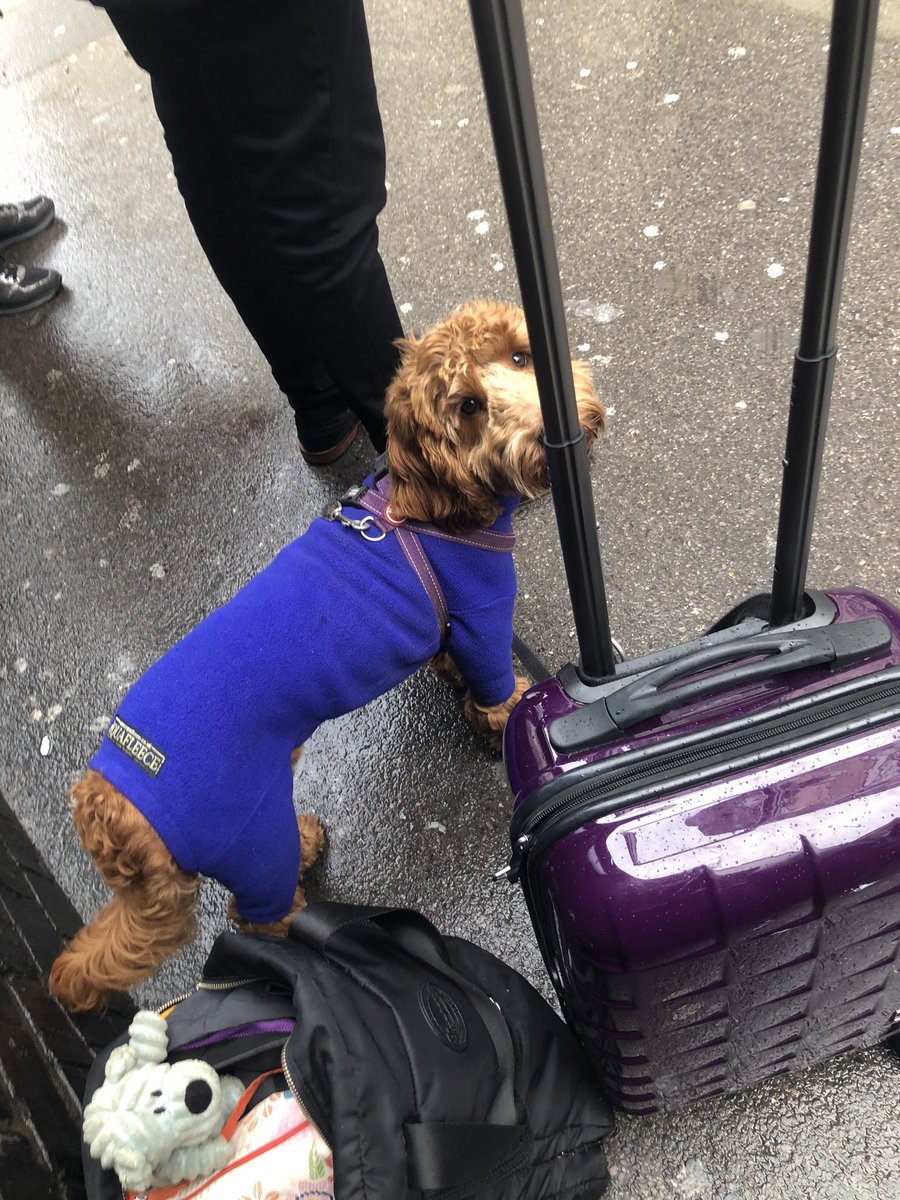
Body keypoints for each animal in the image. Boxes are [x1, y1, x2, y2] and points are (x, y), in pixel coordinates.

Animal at [49, 301, 606, 1012]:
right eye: (469, 407)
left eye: (518, 356)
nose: (551, 429)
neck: (425, 510)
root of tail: (106, 802)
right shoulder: (482, 620)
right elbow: (493, 693)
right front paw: (508, 727)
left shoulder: (453, 629)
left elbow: (450, 663)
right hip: (249, 833)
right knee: (257, 916)